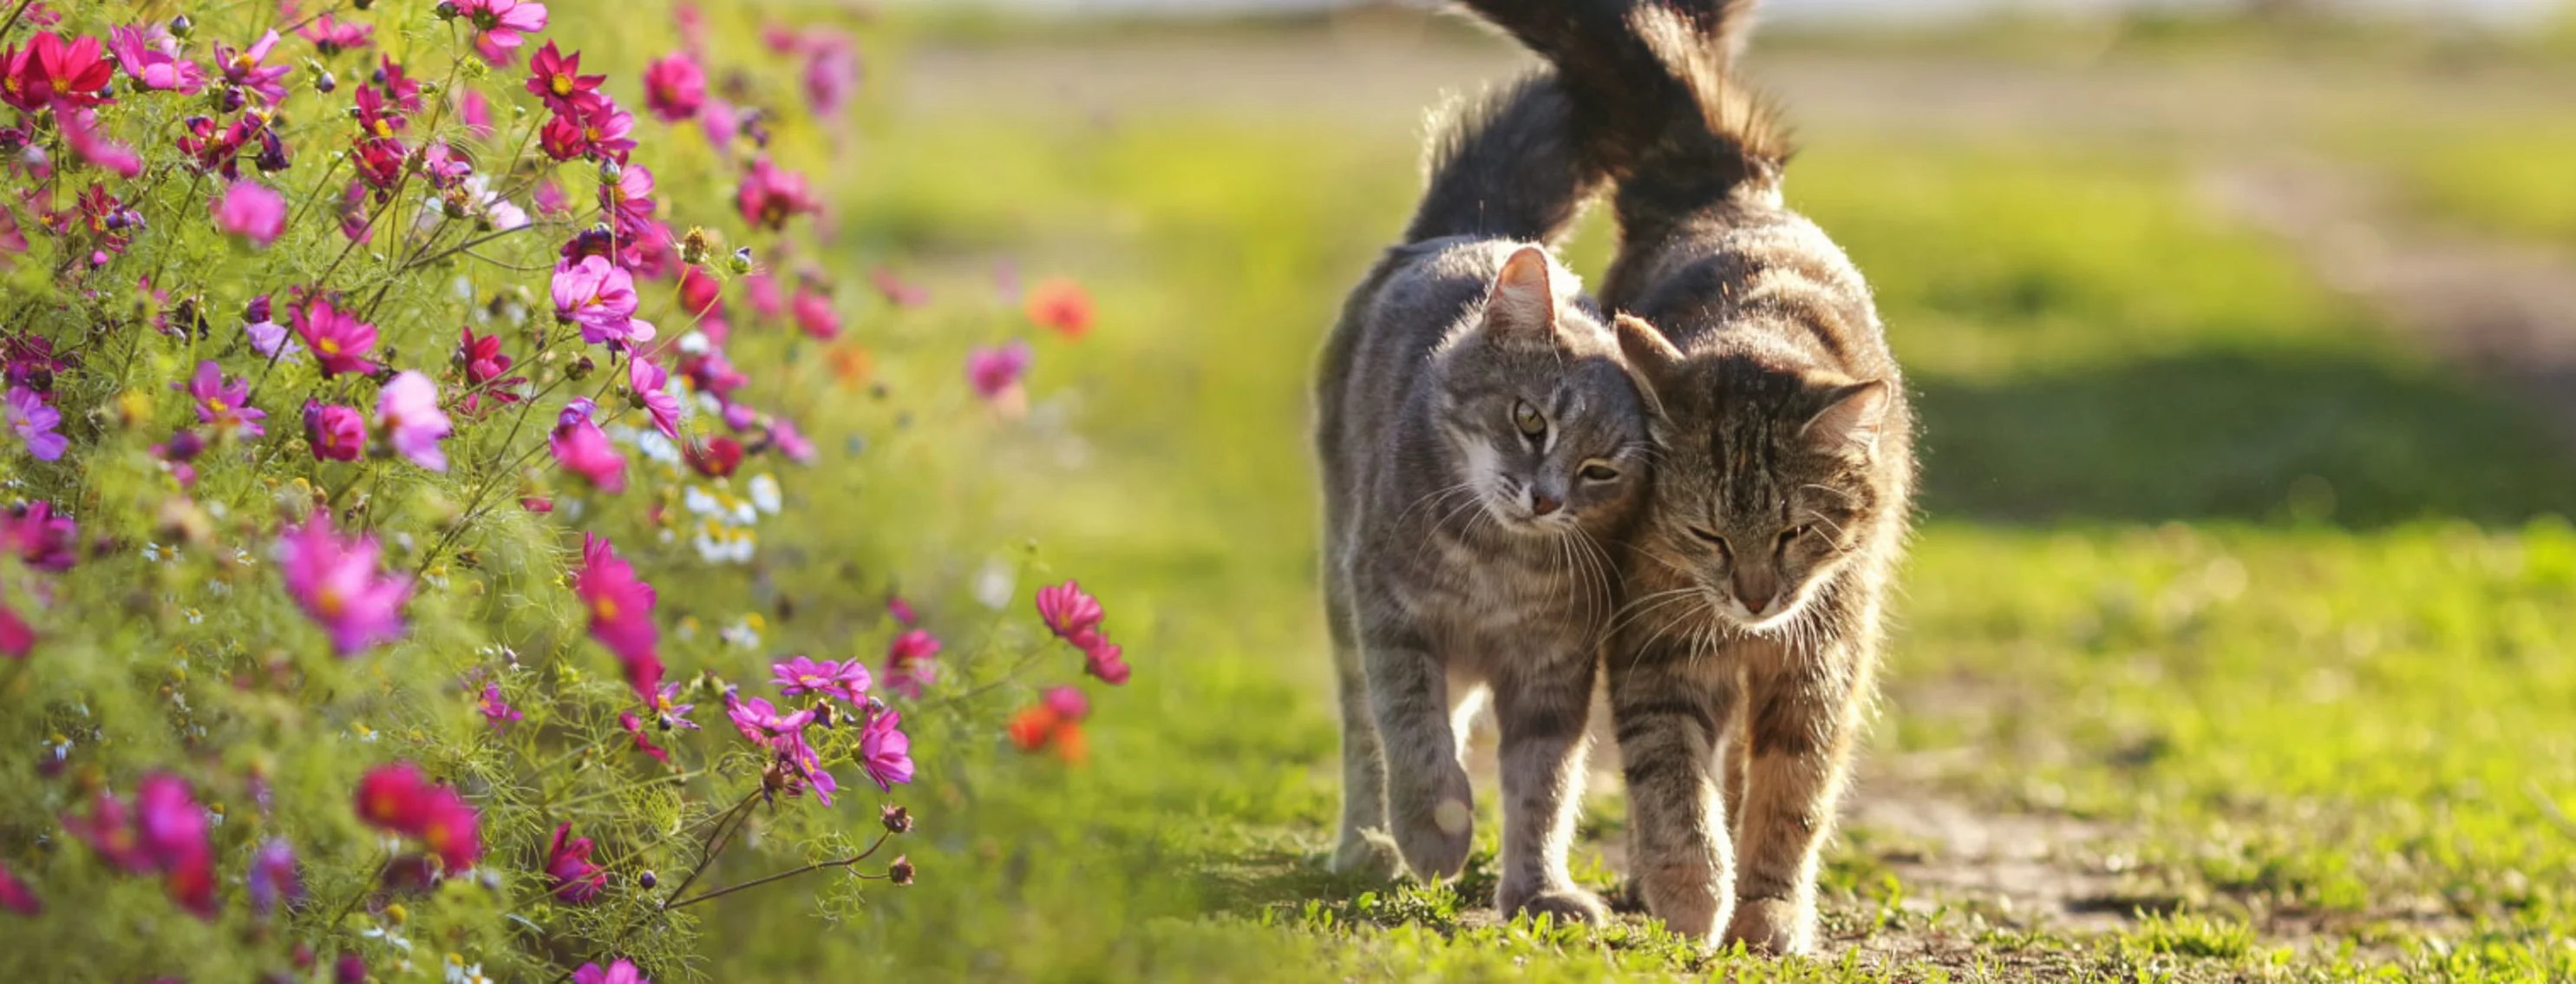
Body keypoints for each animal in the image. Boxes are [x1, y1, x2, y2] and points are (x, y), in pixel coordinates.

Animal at [1318, 71, 1658, 922]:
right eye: (1531, 420)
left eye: (1601, 470)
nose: (1545, 499)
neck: (1498, 566)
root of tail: (1471, 230)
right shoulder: (1390, 615)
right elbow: (1412, 731)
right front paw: (1433, 832)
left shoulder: (1555, 663)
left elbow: (1543, 784)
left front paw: (1538, 889)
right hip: (1342, 590)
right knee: (1364, 734)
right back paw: (1367, 846)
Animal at [1462, 0, 1906, 958]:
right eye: (1706, 533)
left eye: (1796, 531)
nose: (1753, 595)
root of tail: (1725, 191)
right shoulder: (1653, 644)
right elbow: (1669, 778)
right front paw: (1692, 888)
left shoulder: (1821, 658)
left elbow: (1790, 797)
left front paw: (1768, 910)